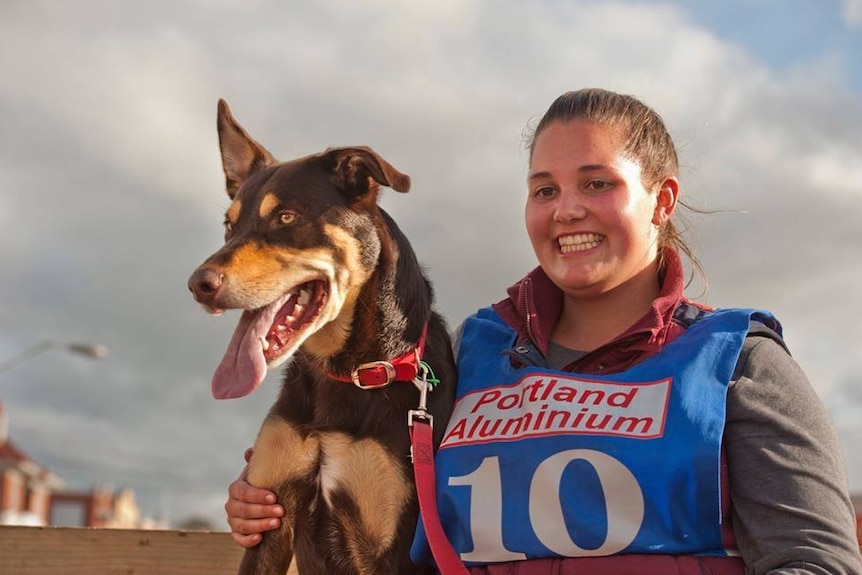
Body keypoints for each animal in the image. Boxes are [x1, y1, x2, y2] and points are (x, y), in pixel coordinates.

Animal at [190, 100, 460, 575]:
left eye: (286, 217)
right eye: (229, 226)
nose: (197, 284)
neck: (352, 373)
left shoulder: (394, 548)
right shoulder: (271, 518)